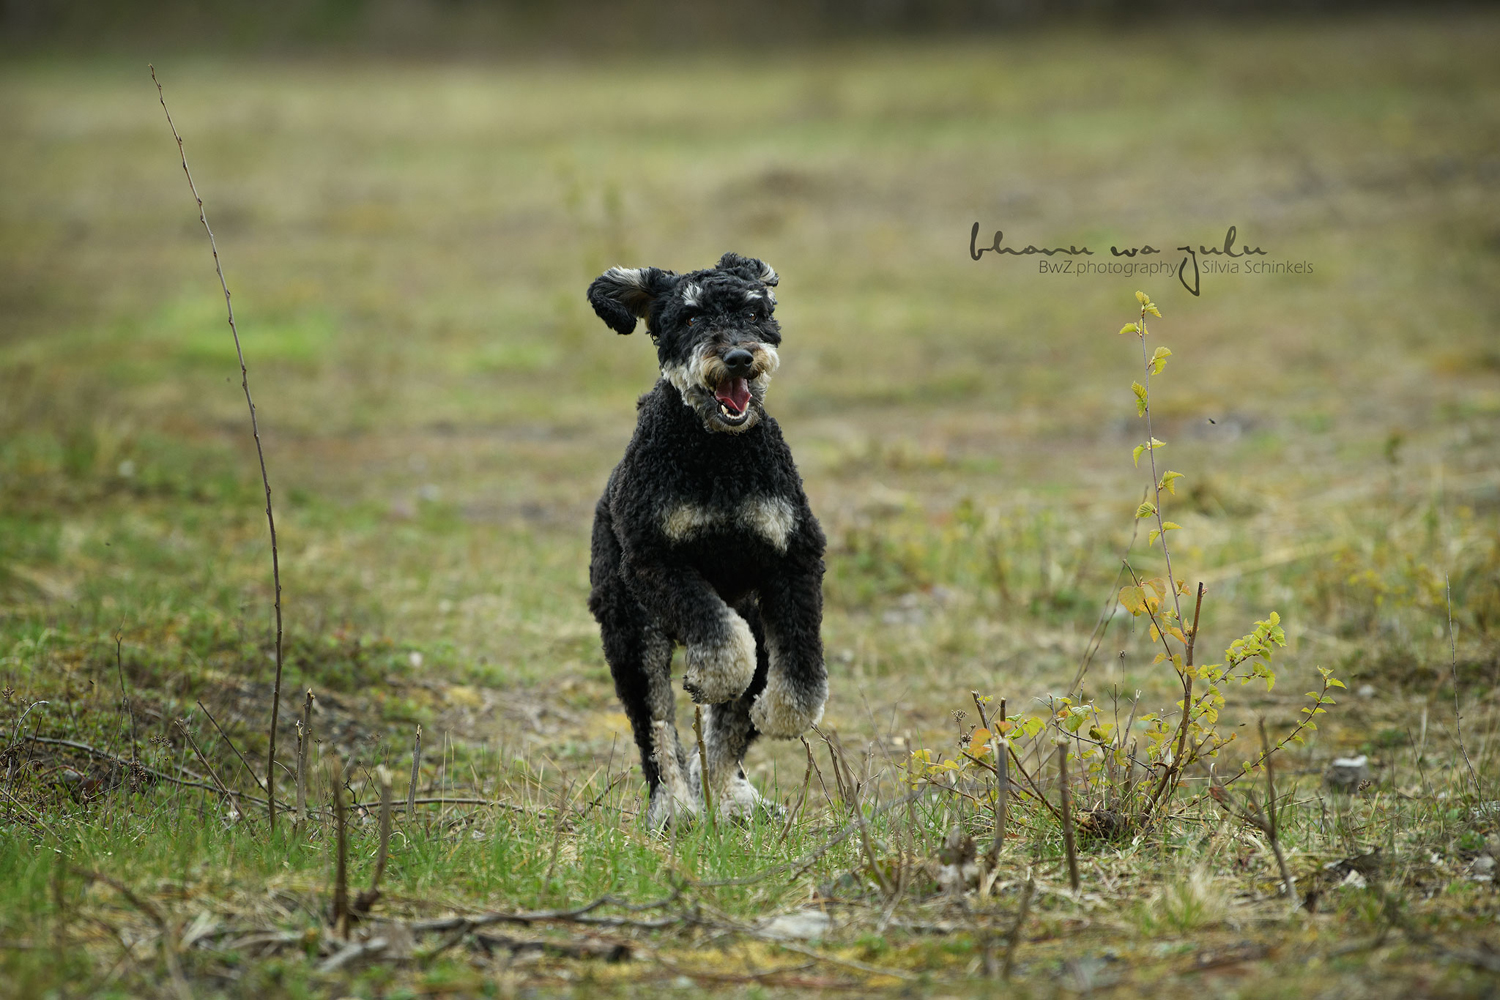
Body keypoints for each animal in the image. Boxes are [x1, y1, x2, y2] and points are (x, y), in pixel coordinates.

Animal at [585, 251, 828, 827]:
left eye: (755, 311)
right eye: (690, 317)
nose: (739, 357)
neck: (718, 453)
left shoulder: (794, 560)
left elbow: (800, 672)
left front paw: (780, 714)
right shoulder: (655, 564)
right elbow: (721, 640)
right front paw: (710, 678)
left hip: (759, 620)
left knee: (725, 735)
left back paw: (728, 796)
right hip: (632, 633)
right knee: (655, 727)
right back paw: (675, 806)